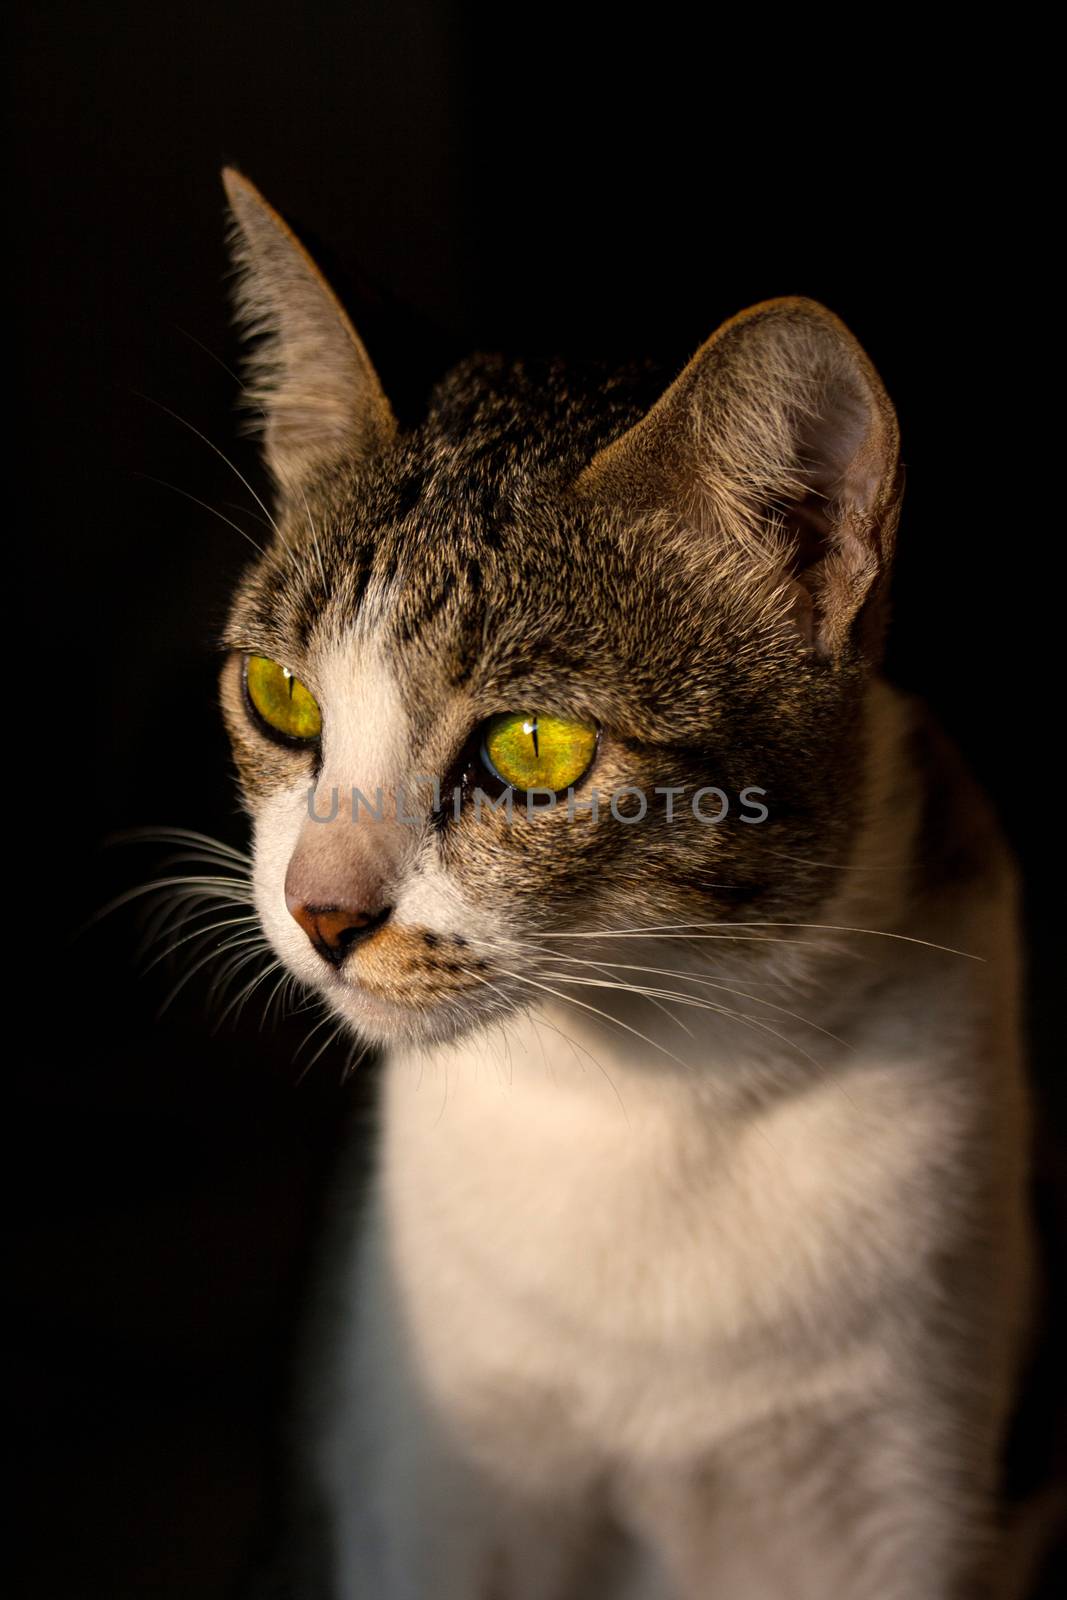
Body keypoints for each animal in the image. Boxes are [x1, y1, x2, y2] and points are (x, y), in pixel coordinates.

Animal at [214, 168, 1036, 1593]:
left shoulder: (896, 1487)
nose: (321, 911)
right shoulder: (435, 1488)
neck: (651, 1092)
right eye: (281, 695)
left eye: (533, 747)